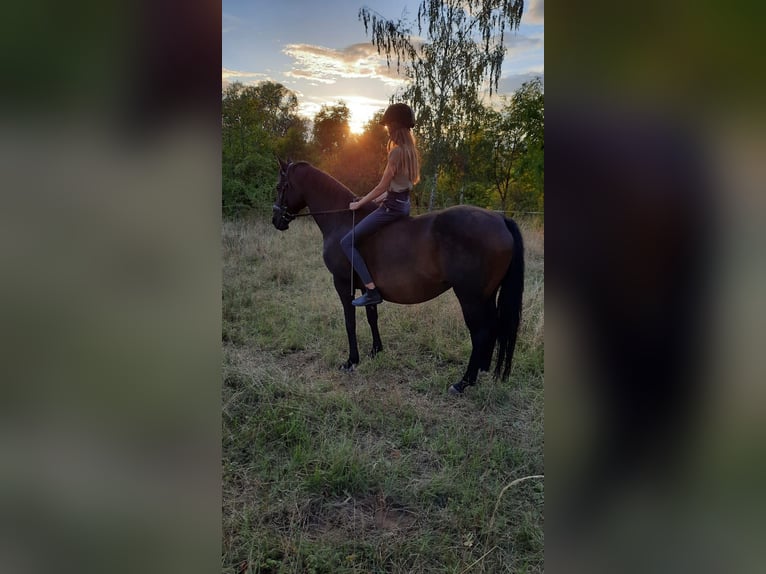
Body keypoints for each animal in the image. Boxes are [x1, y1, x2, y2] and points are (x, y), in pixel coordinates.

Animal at [272, 160, 528, 398]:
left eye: (279, 187)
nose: (276, 220)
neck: (343, 219)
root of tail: (500, 220)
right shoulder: (366, 289)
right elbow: (371, 317)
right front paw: (375, 351)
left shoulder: (343, 285)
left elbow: (350, 322)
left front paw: (351, 361)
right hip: (487, 295)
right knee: (492, 329)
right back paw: (482, 370)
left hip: (471, 298)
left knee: (482, 331)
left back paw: (464, 382)